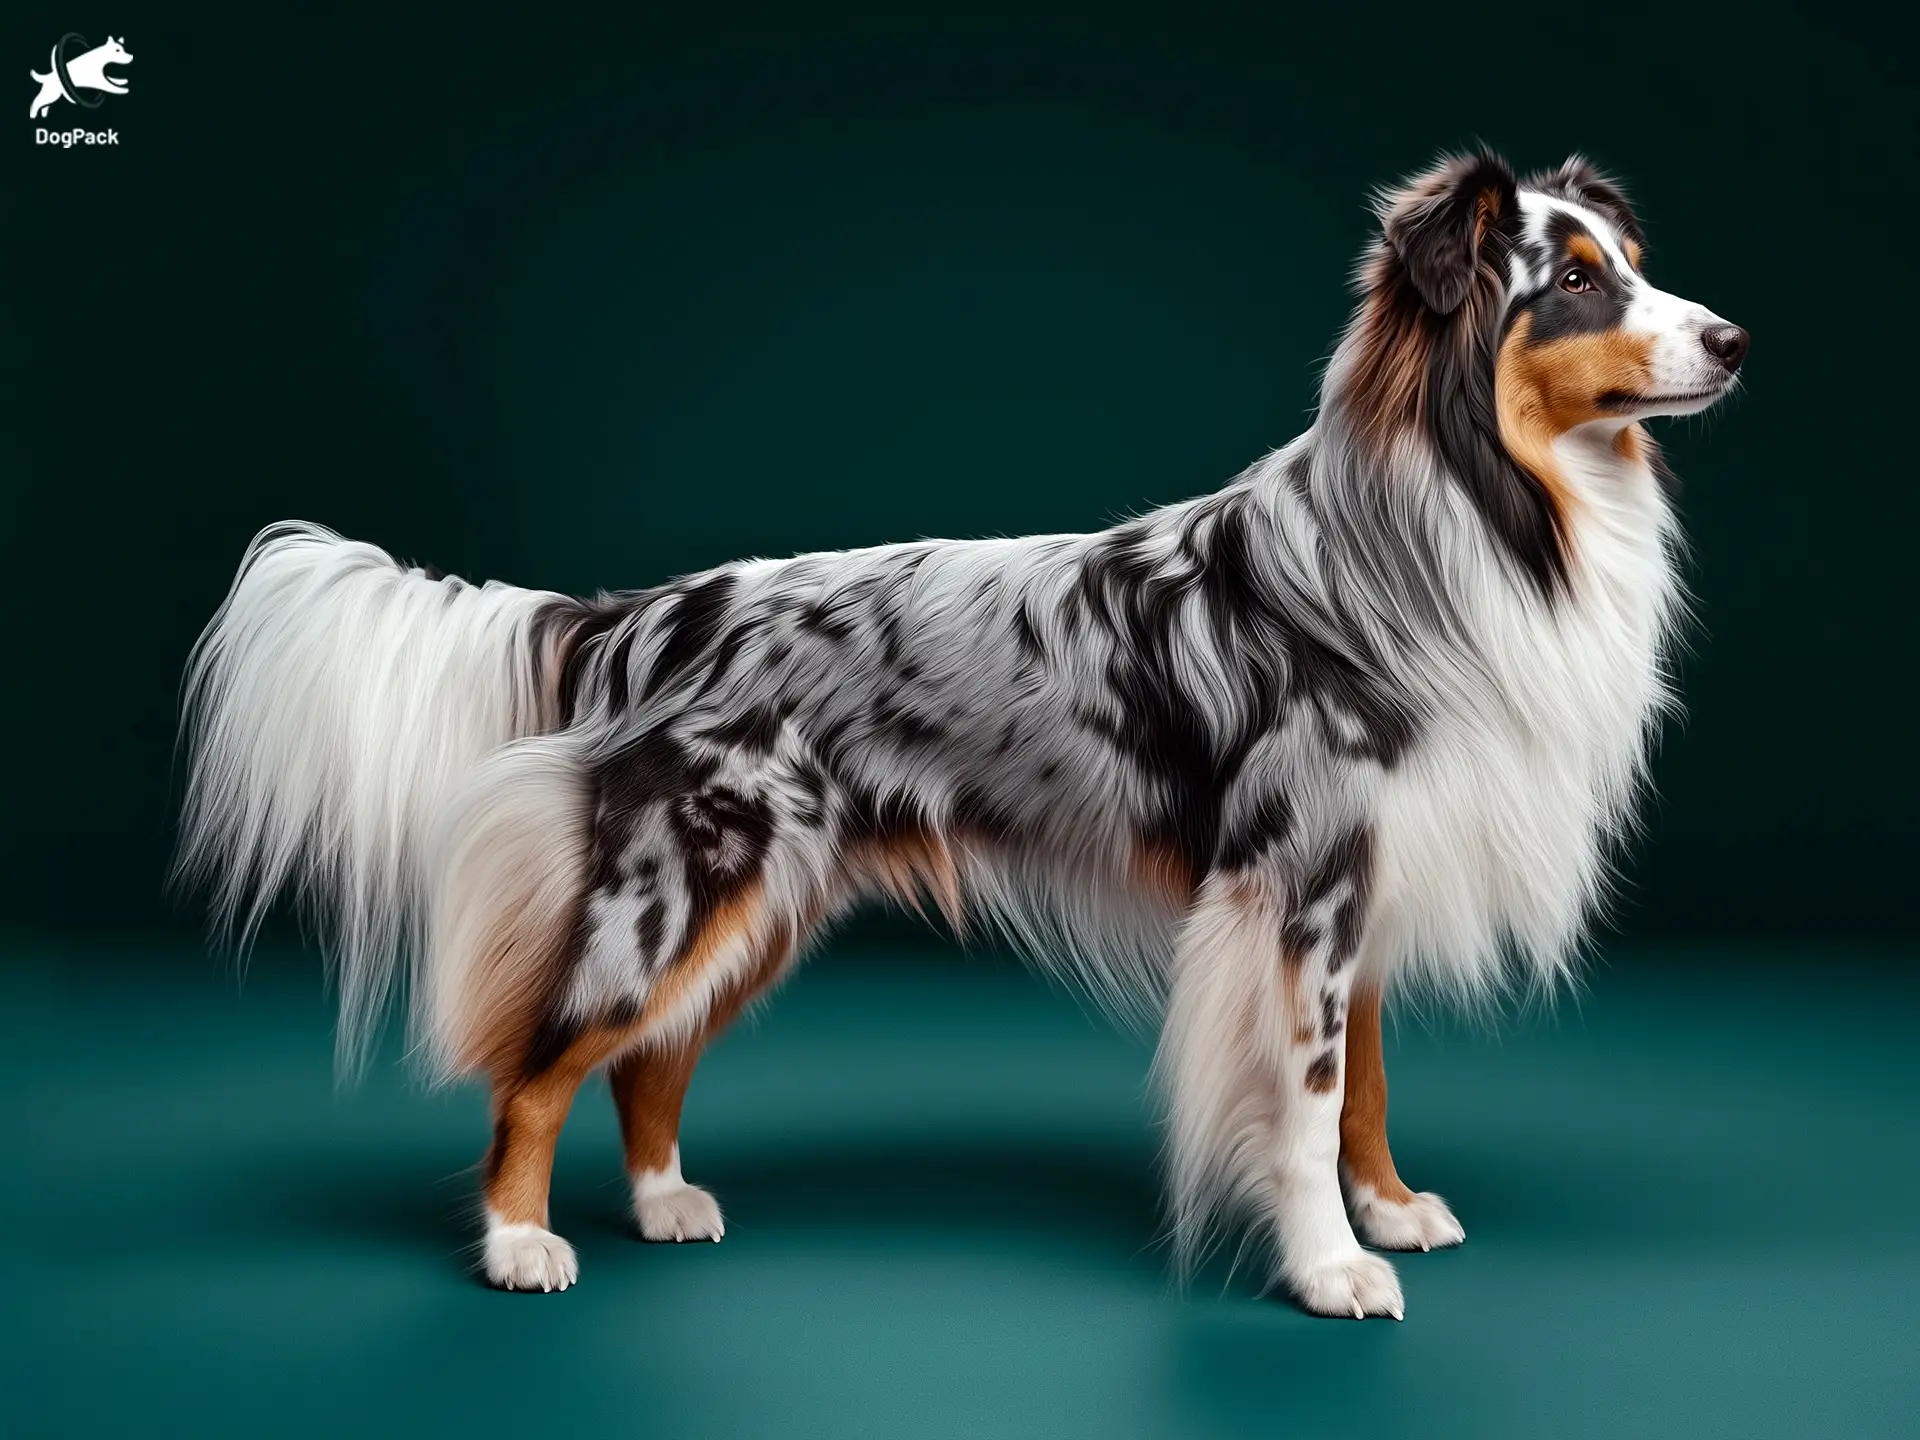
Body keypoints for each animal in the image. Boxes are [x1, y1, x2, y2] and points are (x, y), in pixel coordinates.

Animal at [176, 155, 1743, 1320]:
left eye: (1631, 255)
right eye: (1578, 279)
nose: (1735, 338)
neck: (1470, 514)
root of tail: (656, 609)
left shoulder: (1367, 879)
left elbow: (1361, 1088)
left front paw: (1392, 1209)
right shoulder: (1298, 887)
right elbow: (1302, 1102)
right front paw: (1331, 1269)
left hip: (766, 905)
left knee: (648, 1059)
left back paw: (666, 1202)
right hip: (680, 886)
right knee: (544, 1060)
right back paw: (517, 1244)